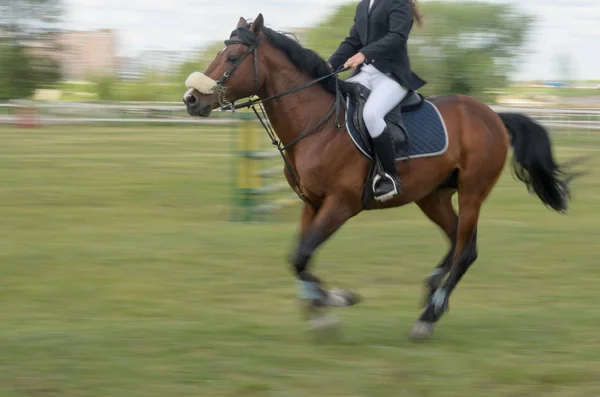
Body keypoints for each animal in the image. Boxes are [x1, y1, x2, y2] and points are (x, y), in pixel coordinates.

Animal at [182, 13, 572, 338]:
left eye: (232, 59)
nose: (190, 100)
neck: (316, 124)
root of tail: (491, 114)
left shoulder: (340, 204)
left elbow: (302, 256)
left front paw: (335, 301)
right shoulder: (311, 204)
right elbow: (299, 258)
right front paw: (322, 311)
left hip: (473, 191)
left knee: (465, 251)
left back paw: (428, 317)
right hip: (432, 196)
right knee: (458, 241)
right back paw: (433, 289)